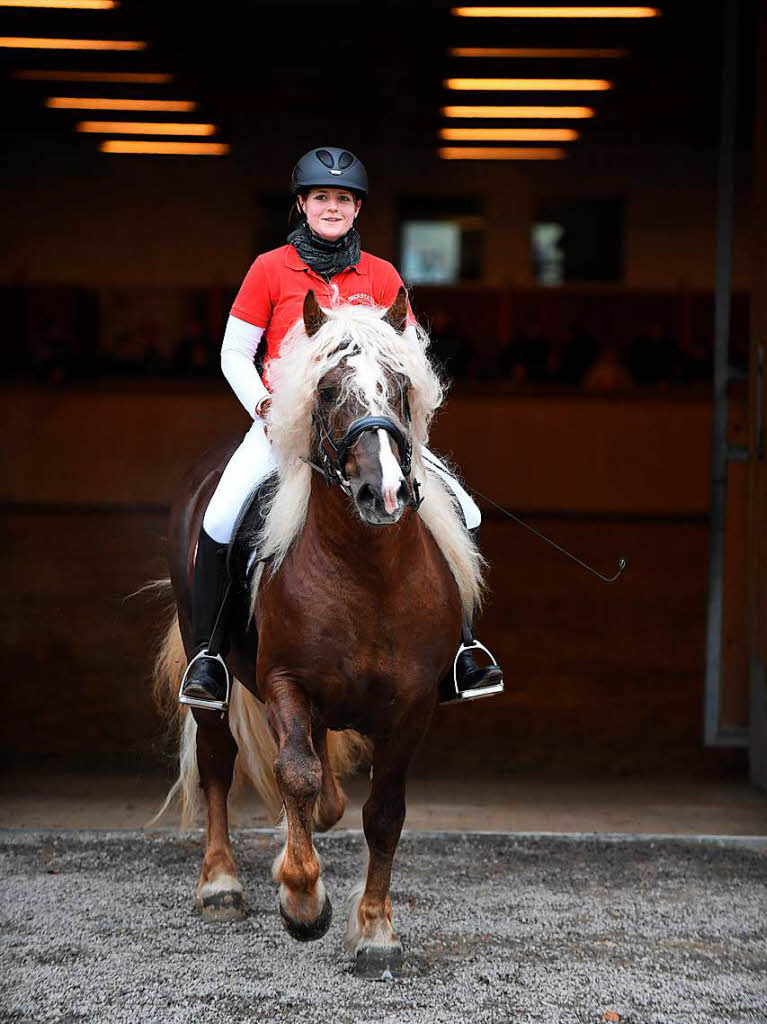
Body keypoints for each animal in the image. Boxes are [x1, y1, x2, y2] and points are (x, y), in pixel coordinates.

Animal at [152, 286, 481, 974]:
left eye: (401, 386)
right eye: (327, 391)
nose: (383, 493)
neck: (367, 571)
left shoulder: (412, 706)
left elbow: (382, 812)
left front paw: (376, 932)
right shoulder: (287, 683)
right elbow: (295, 774)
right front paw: (303, 903)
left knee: (323, 789)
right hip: (210, 668)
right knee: (222, 761)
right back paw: (221, 884)